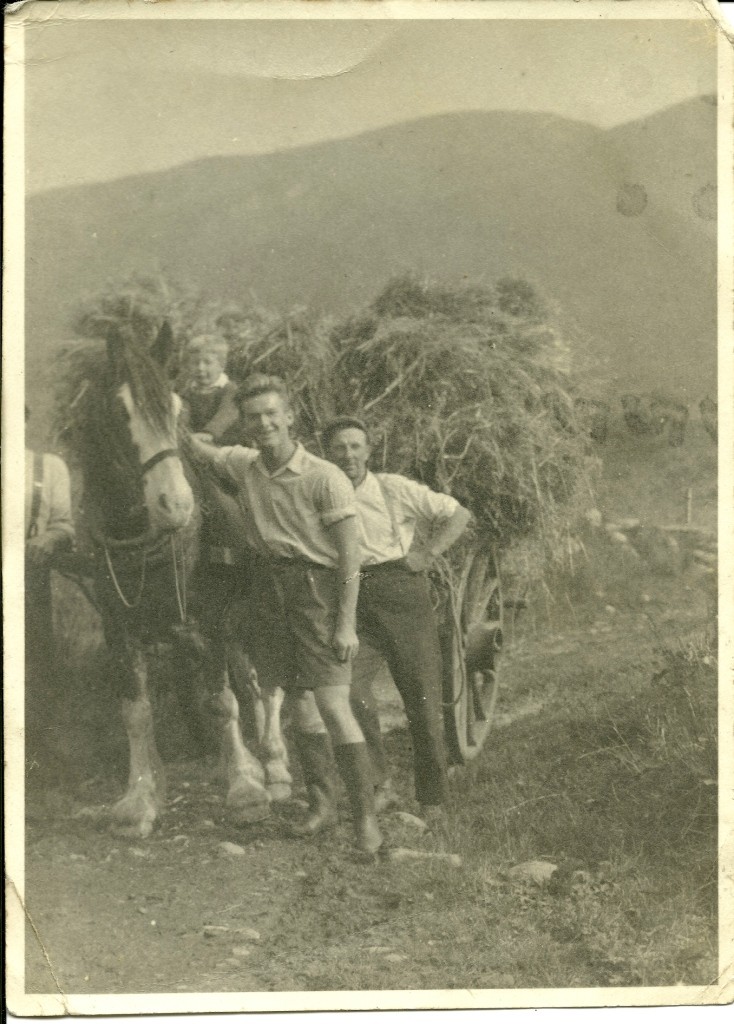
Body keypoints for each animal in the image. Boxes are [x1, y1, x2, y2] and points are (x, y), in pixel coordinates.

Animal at [65, 321, 288, 839]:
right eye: (119, 413)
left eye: (176, 410)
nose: (177, 504)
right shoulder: (119, 627)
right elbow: (137, 712)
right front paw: (141, 798)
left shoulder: (210, 621)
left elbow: (221, 700)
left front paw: (245, 790)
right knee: (250, 679)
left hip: (258, 615)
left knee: (267, 684)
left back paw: (275, 763)